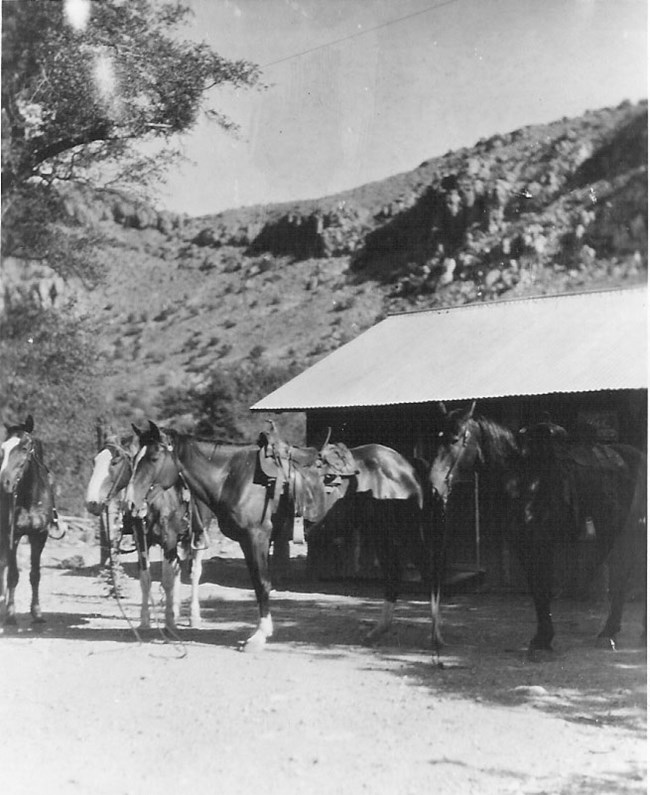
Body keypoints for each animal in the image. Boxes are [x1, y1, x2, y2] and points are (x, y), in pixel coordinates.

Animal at [0, 416, 59, 628]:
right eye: (3, 448)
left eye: (24, 447)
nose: (5, 482)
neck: (30, 498)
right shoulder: (13, 536)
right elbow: (13, 575)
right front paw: (10, 614)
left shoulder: (39, 536)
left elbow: (35, 575)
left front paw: (37, 613)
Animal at [85, 432, 211, 632]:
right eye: (94, 461)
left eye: (115, 461)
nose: (92, 503)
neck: (155, 500)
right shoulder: (141, 539)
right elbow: (146, 579)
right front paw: (145, 621)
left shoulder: (169, 539)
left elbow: (167, 580)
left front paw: (169, 622)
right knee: (177, 570)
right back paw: (176, 611)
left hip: (198, 536)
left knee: (194, 572)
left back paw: (193, 616)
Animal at [126, 422, 436, 652]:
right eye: (134, 459)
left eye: (153, 457)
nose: (130, 503)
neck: (232, 475)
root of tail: (405, 464)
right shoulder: (247, 542)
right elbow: (258, 583)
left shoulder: (257, 538)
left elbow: (262, 583)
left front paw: (259, 636)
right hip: (379, 532)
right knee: (392, 574)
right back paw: (378, 631)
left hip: (405, 531)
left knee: (425, 568)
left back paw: (435, 636)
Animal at [428, 404, 644, 652]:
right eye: (437, 438)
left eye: (455, 439)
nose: (434, 487)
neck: (525, 477)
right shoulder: (523, 544)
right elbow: (536, 589)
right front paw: (541, 638)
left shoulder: (541, 542)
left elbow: (543, 588)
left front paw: (544, 640)